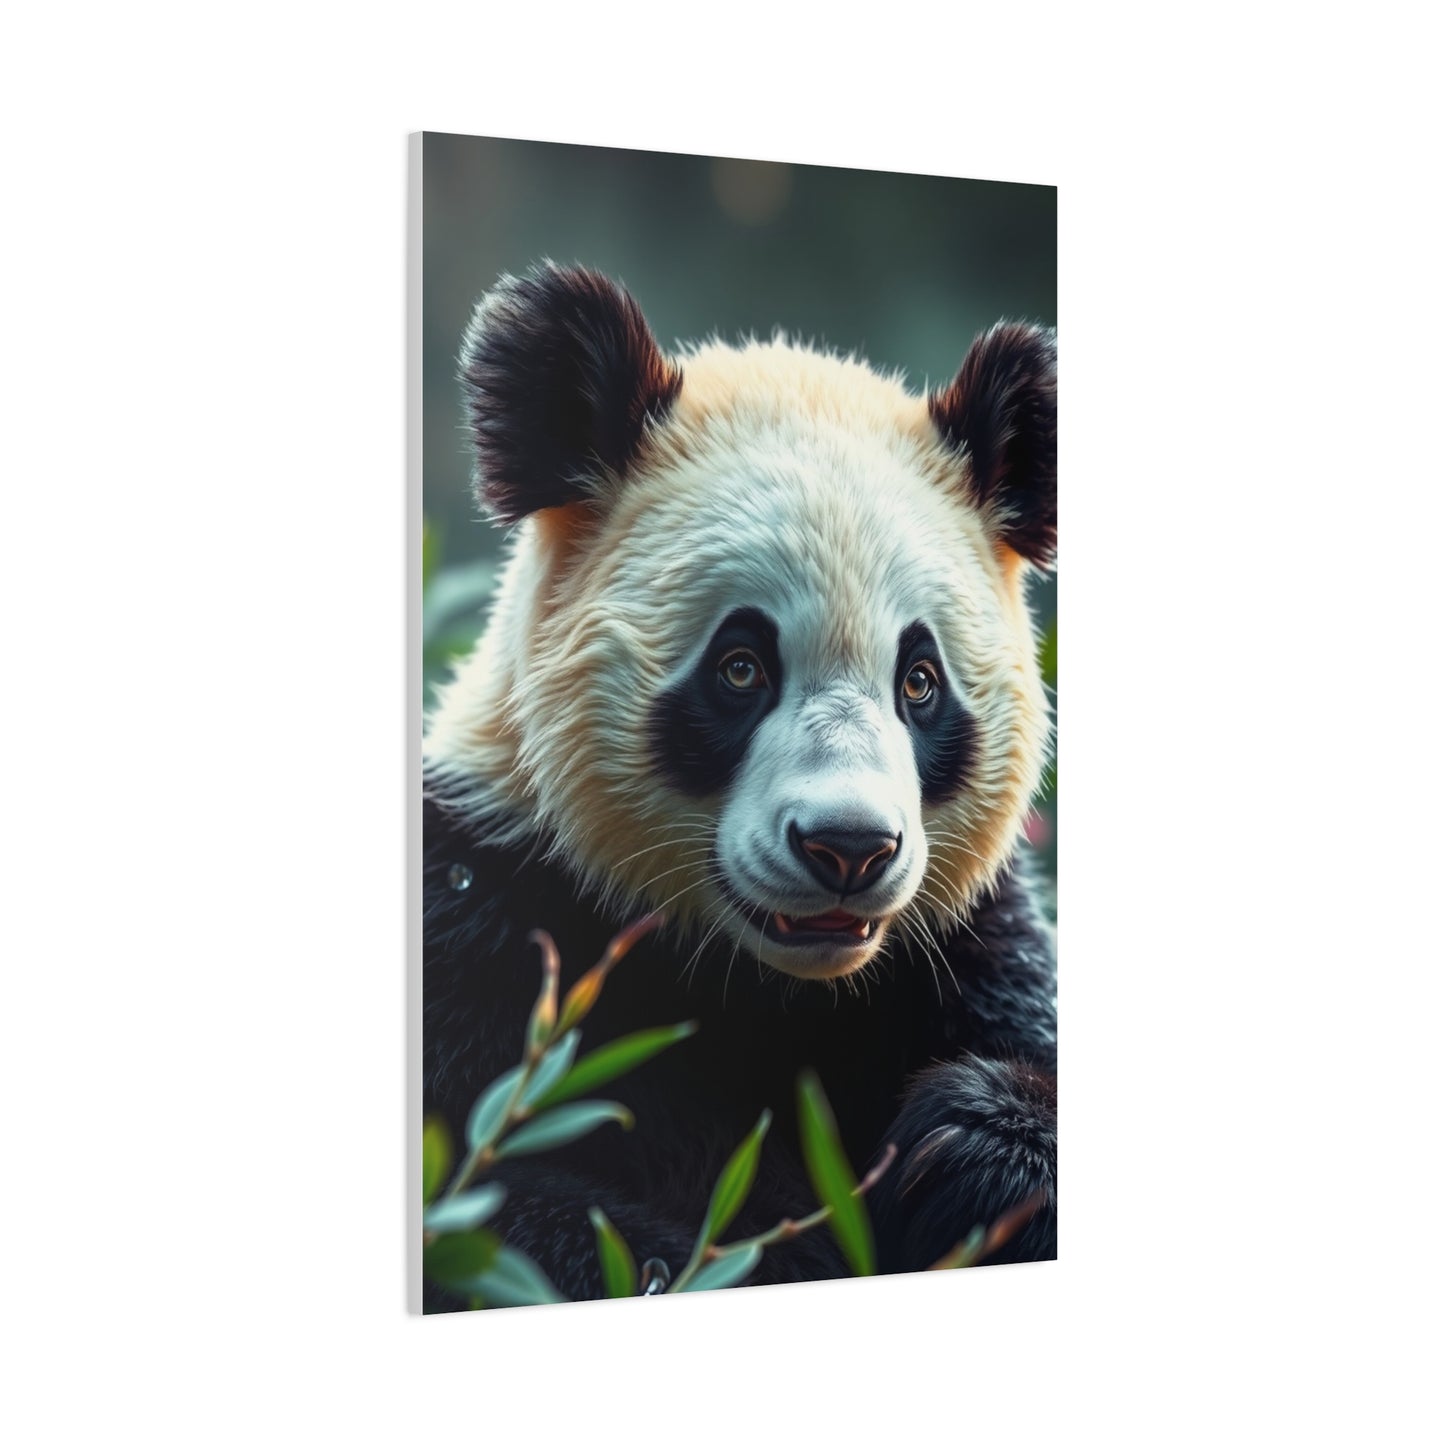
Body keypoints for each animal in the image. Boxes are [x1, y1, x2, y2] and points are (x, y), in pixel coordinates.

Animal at [423, 261, 1057, 1304]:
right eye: (740, 667)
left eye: (918, 680)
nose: (849, 848)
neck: (768, 984)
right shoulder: (487, 916)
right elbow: (502, 1206)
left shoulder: (964, 949)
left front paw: (966, 1151)